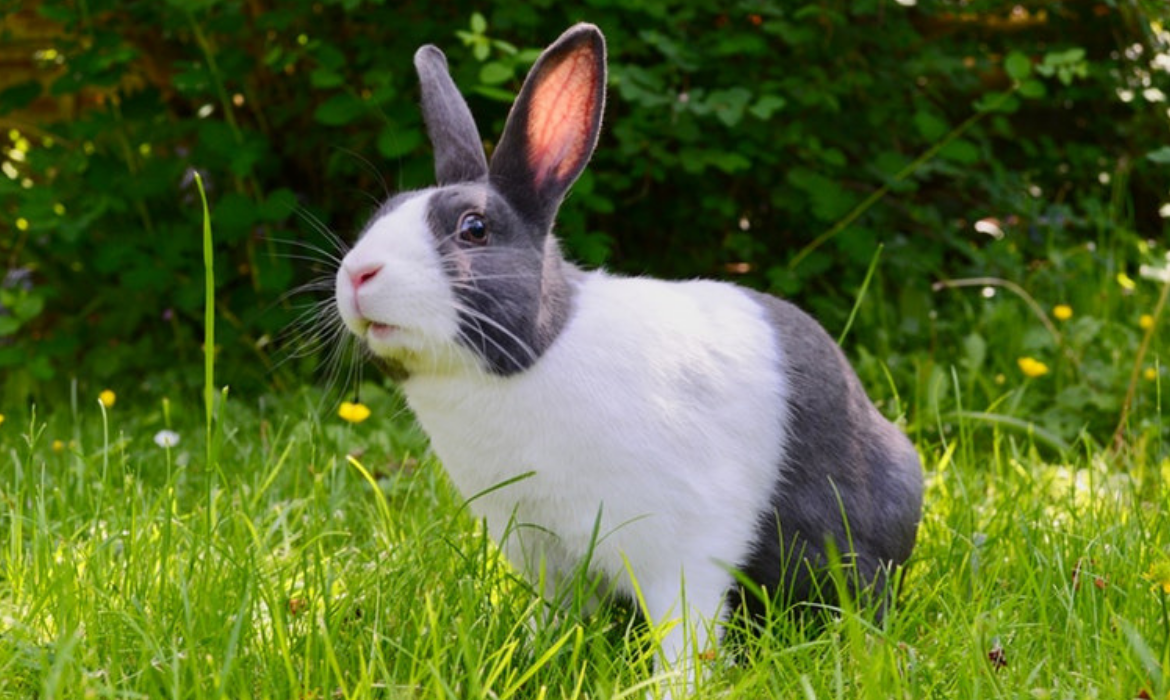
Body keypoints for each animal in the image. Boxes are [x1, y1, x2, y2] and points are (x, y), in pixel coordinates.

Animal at [336, 20, 921, 692]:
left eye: (474, 229)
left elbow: (686, 629)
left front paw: (670, 689)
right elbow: (555, 617)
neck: (535, 357)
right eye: (382, 213)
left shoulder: (679, 547)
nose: (356, 274)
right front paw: (532, 656)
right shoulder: (544, 551)